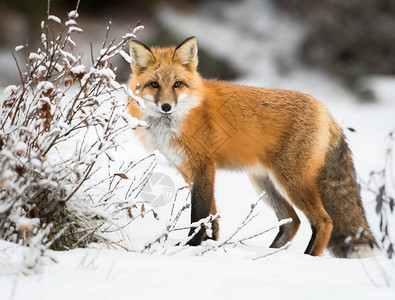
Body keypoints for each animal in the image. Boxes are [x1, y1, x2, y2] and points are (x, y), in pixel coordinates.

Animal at [128, 37, 378, 258]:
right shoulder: (188, 170)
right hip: (265, 183)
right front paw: (210, 245)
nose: (166, 106)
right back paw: (269, 254)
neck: (178, 120)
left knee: (324, 221)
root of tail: (325, 109)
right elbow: (212, 215)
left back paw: (306, 259)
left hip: (292, 181)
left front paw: (191, 247)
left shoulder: (203, 167)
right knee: (292, 222)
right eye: (154, 85)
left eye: (177, 84)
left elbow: (199, 215)